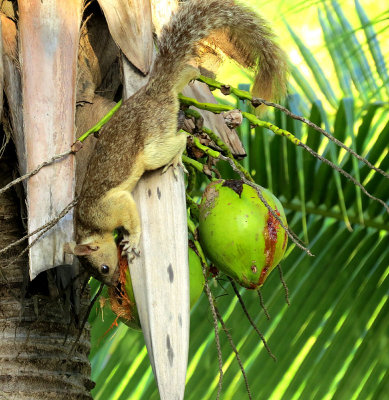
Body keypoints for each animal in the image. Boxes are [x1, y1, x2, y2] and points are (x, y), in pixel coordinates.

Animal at [66, 0, 284, 288]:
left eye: (103, 268)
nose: (115, 283)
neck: (88, 225)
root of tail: (153, 91)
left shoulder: (110, 206)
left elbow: (130, 214)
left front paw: (133, 240)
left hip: (153, 145)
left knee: (178, 139)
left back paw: (176, 158)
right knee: (183, 76)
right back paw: (190, 74)